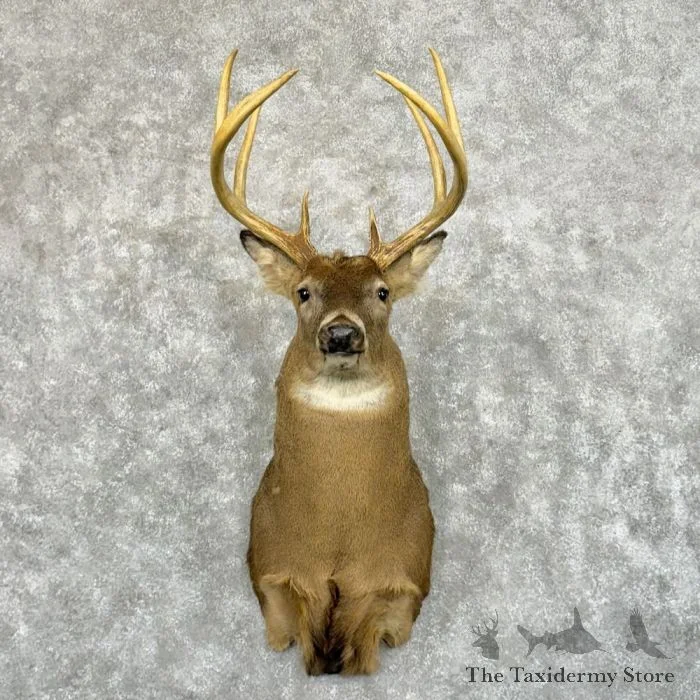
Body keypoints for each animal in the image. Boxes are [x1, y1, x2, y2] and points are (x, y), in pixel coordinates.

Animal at [210, 48, 468, 675]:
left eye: (382, 292)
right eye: (303, 291)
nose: (342, 334)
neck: (337, 538)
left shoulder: (405, 578)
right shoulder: (271, 566)